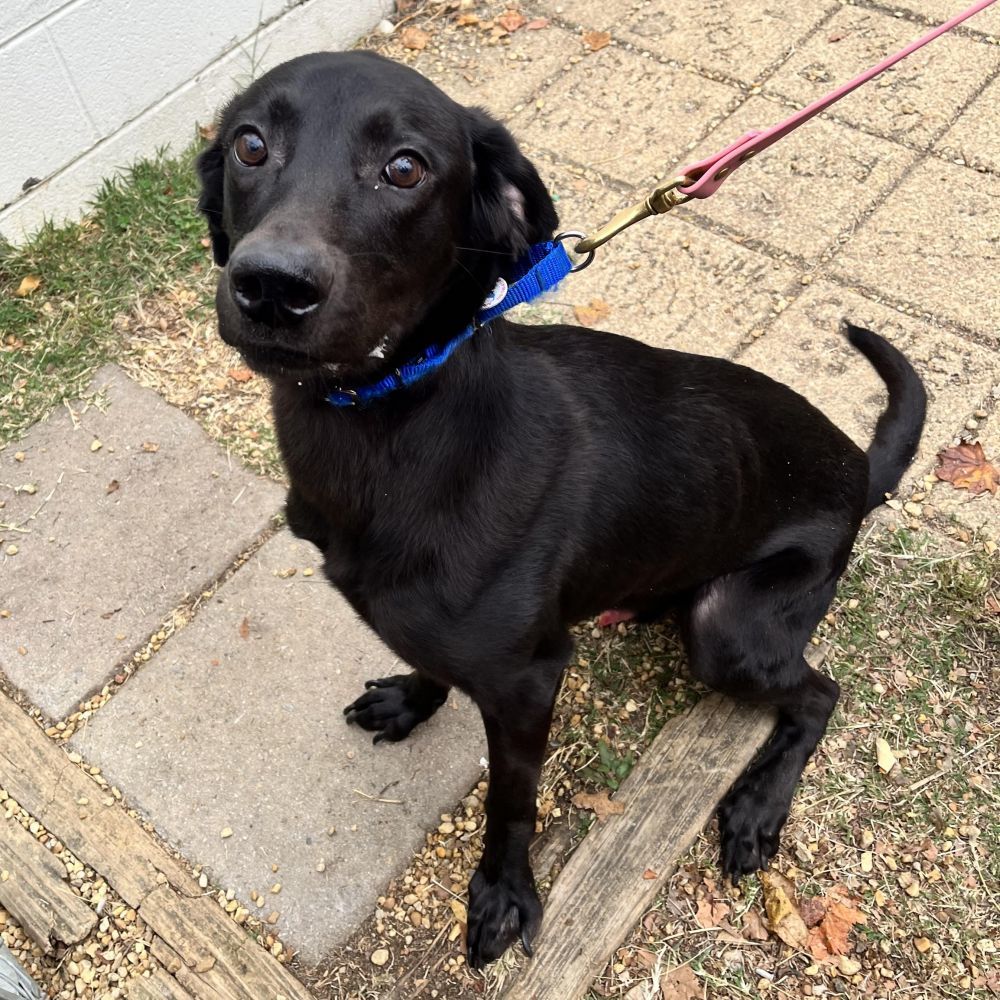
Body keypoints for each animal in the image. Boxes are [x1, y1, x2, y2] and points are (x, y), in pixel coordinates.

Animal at [197, 52, 928, 968]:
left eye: (405, 167)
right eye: (250, 145)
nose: (270, 286)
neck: (393, 426)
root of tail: (857, 468)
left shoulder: (528, 681)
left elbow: (510, 806)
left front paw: (505, 895)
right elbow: (428, 661)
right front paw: (411, 698)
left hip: (728, 628)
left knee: (819, 695)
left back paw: (759, 809)